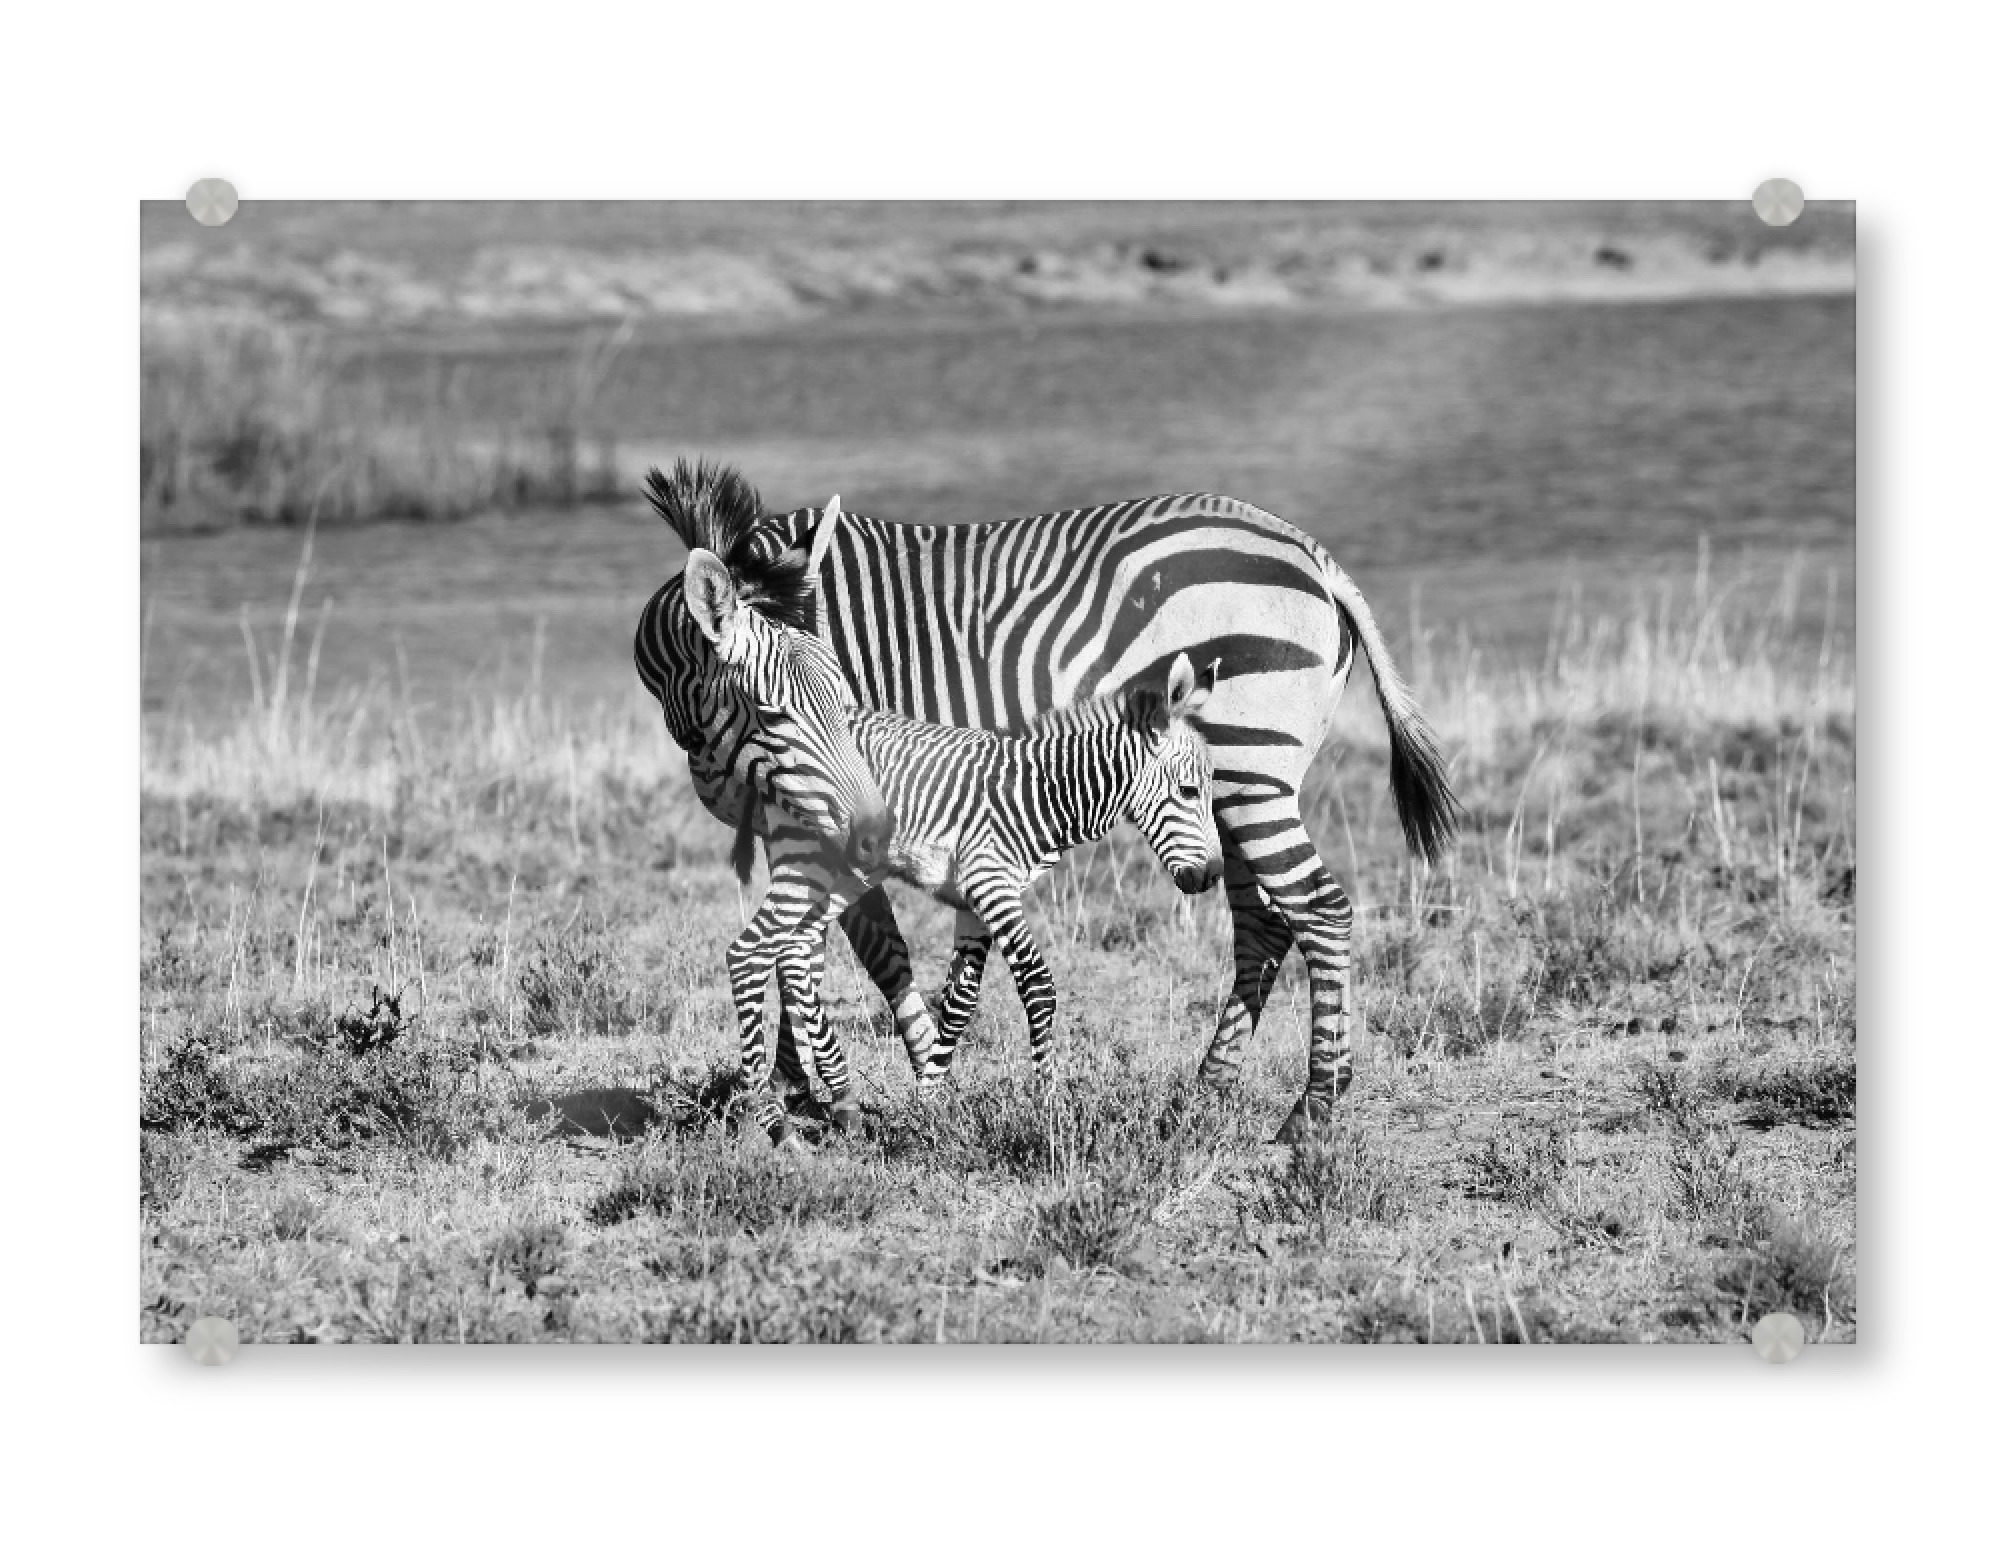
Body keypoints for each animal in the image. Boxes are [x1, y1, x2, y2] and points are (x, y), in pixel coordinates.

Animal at [734, 653, 1220, 1147]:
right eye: (1188, 791)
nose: (1212, 876)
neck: (1040, 795)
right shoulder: (993, 885)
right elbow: (1038, 986)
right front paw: (1050, 1107)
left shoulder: (973, 902)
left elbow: (959, 1000)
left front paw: (930, 1102)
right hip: (808, 859)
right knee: (750, 950)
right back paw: (770, 1117)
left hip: (843, 874)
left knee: (793, 951)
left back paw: (839, 1100)